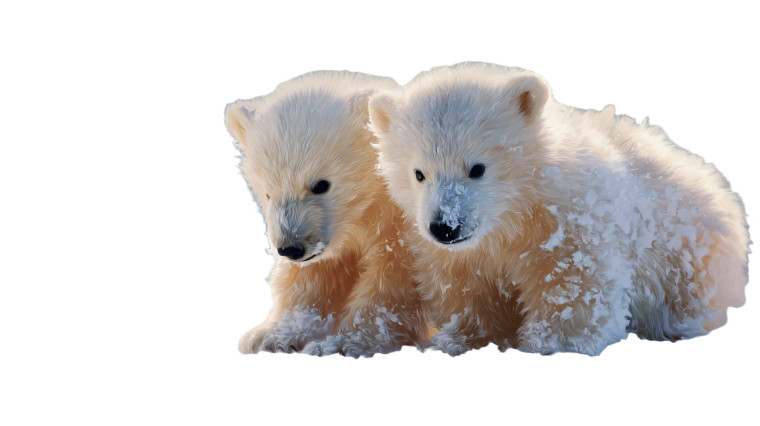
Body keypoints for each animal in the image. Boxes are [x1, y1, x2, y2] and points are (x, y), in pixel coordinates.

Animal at [225, 71, 427, 357]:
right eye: (268, 192)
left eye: (321, 184)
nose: (291, 248)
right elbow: (313, 276)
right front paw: (271, 336)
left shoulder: (401, 226)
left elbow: (392, 279)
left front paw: (346, 342)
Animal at [368, 62, 749, 356]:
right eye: (418, 173)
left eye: (477, 168)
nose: (444, 227)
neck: (517, 213)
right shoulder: (462, 254)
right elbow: (467, 291)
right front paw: (456, 340)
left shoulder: (570, 223)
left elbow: (574, 287)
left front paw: (549, 345)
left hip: (687, 256)